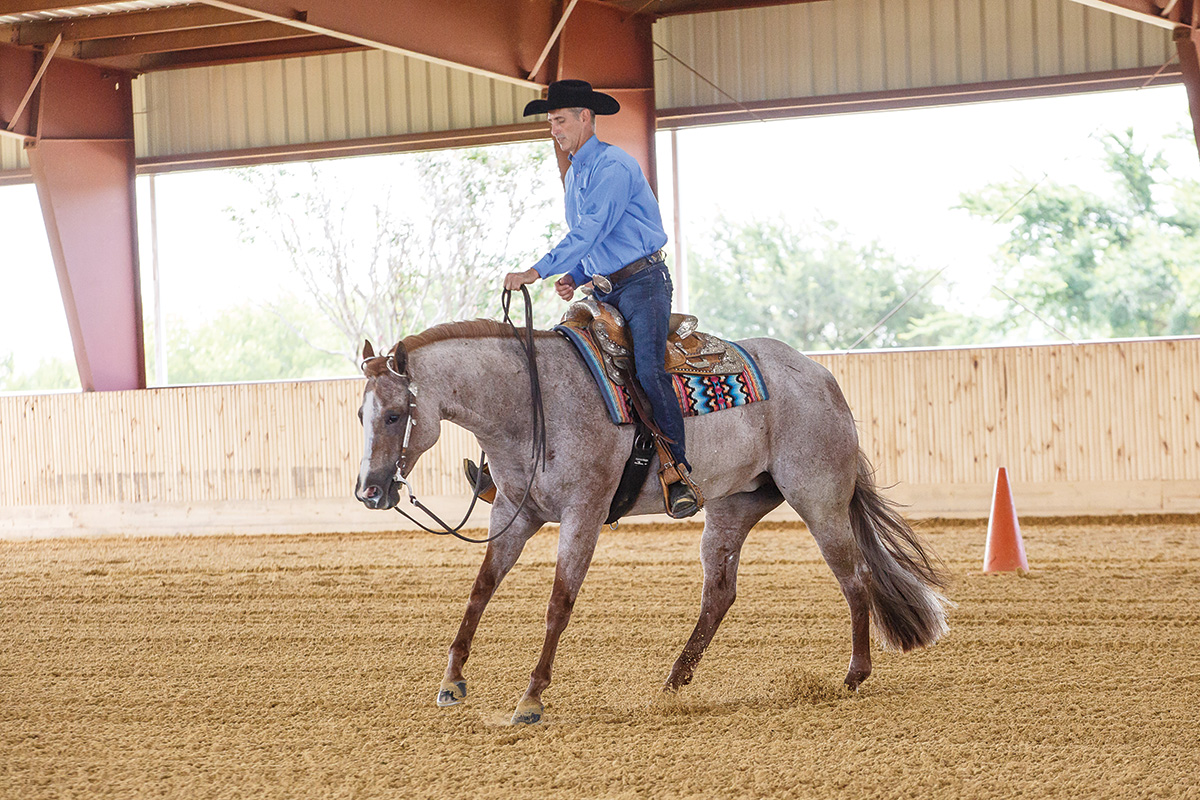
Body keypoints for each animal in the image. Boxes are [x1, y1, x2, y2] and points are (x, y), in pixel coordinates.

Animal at [352, 316, 945, 724]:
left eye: (395, 414)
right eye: (361, 413)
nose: (370, 490)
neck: (531, 404)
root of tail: (823, 378)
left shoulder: (583, 514)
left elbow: (559, 603)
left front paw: (531, 697)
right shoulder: (515, 514)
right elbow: (480, 589)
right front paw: (452, 682)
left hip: (819, 500)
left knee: (855, 577)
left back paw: (854, 675)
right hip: (733, 507)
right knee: (720, 593)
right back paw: (675, 679)